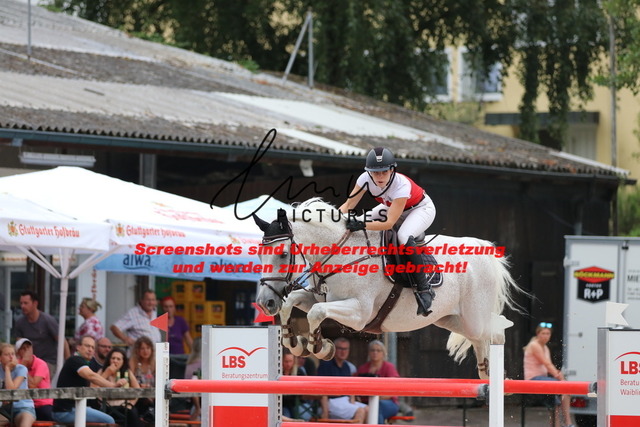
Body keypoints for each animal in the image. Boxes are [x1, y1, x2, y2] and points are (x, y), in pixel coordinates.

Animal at [253, 198, 522, 378]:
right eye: (259, 253)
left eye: (283, 253)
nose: (265, 303)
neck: (341, 253)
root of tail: (484, 249)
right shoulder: (321, 298)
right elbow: (292, 303)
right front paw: (295, 342)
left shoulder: (359, 313)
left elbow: (316, 313)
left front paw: (320, 347)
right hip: (450, 319)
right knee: (482, 338)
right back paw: (487, 373)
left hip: (473, 318)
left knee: (496, 331)